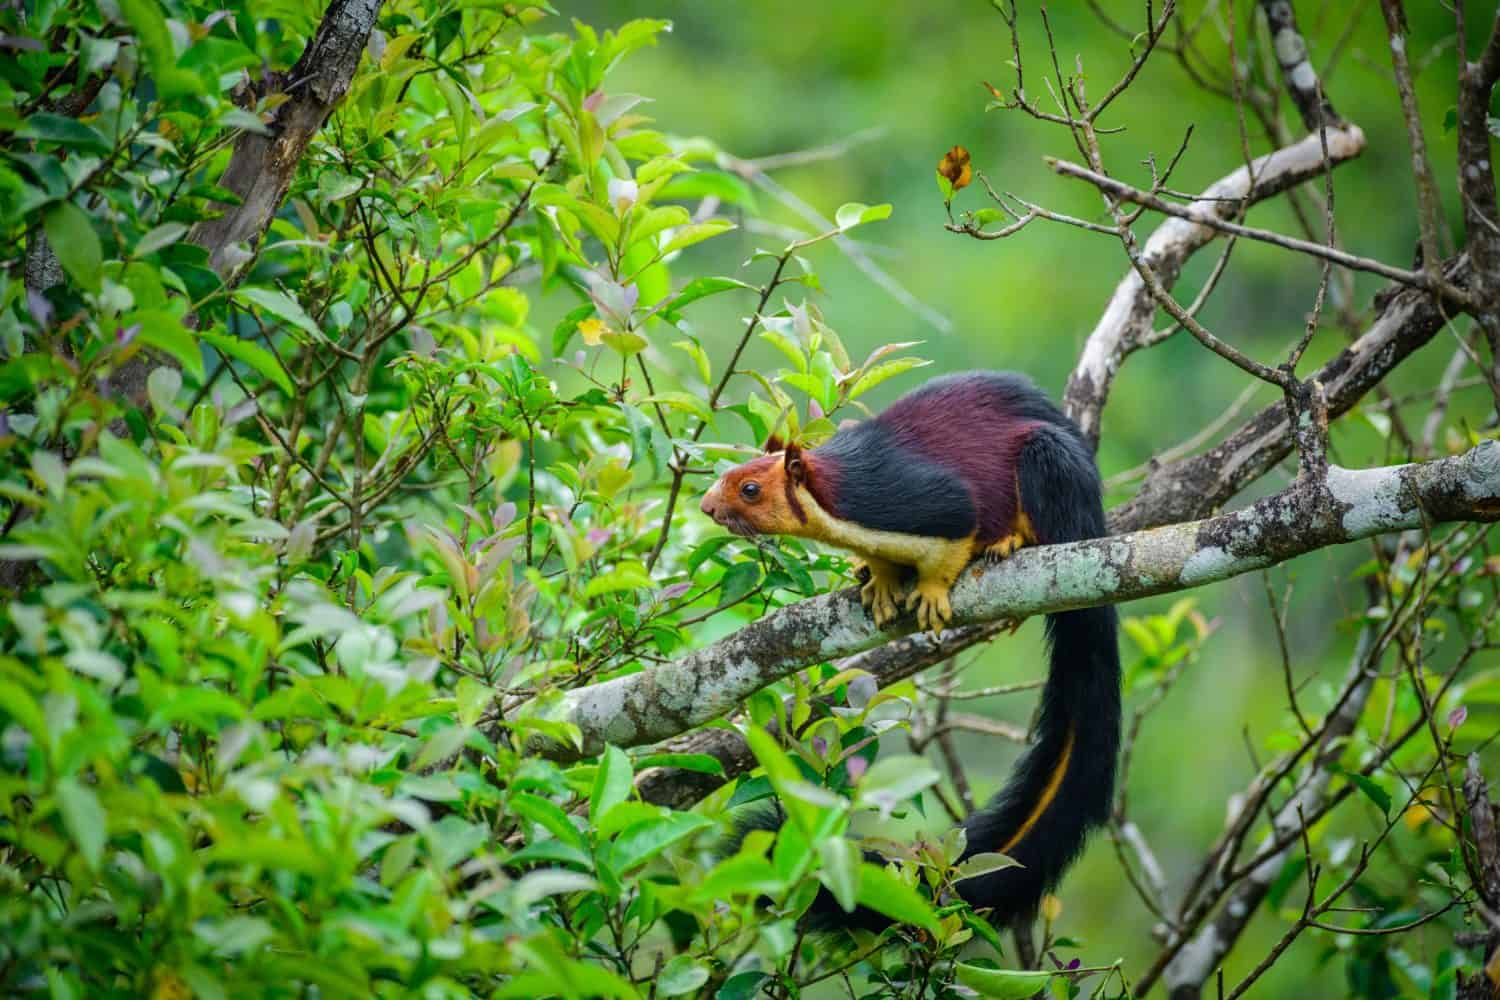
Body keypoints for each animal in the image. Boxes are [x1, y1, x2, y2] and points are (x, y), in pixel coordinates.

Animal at [700, 371, 1121, 928]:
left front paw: (933, 592)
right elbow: (880, 559)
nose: (706, 507)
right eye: (730, 472)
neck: (836, 498)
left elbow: (956, 533)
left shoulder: (924, 500)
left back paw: (1011, 541)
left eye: (750, 489)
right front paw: (878, 580)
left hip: (1053, 467)